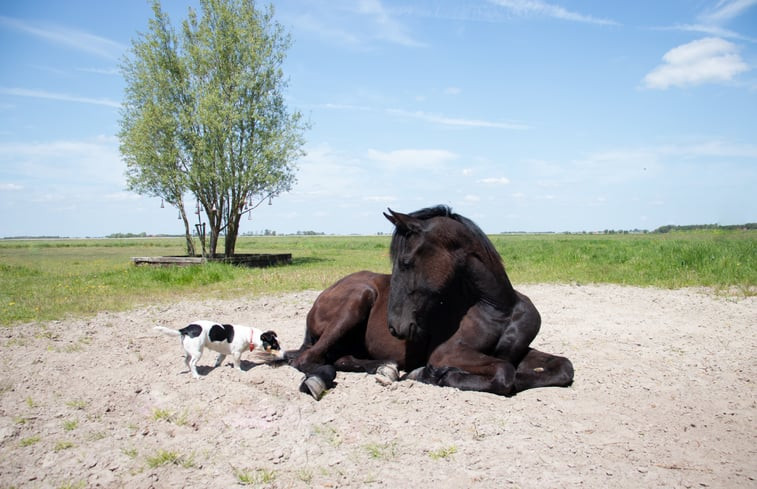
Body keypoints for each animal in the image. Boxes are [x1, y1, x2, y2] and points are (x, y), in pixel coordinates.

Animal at [154, 320, 284, 378]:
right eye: (275, 345)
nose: (284, 353)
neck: (250, 336)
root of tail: (185, 329)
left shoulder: (223, 353)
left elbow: (218, 361)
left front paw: (218, 369)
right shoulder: (237, 353)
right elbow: (237, 364)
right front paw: (240, 371)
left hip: (189, 351)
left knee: (186, 361)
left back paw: (191, 372)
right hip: (198, 352)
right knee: (191, 363)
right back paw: (196, 375)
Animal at [290, 204, 572, 398]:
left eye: (406, 262)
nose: (394, 327)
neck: (501, 308)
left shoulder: (518, 351)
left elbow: (563, 367)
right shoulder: (448, 352)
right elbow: (505, 373)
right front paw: (435, 374)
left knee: (339, 358)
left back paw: (386, 369)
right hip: (358, 300)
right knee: (306, 359)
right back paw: (318, 381)